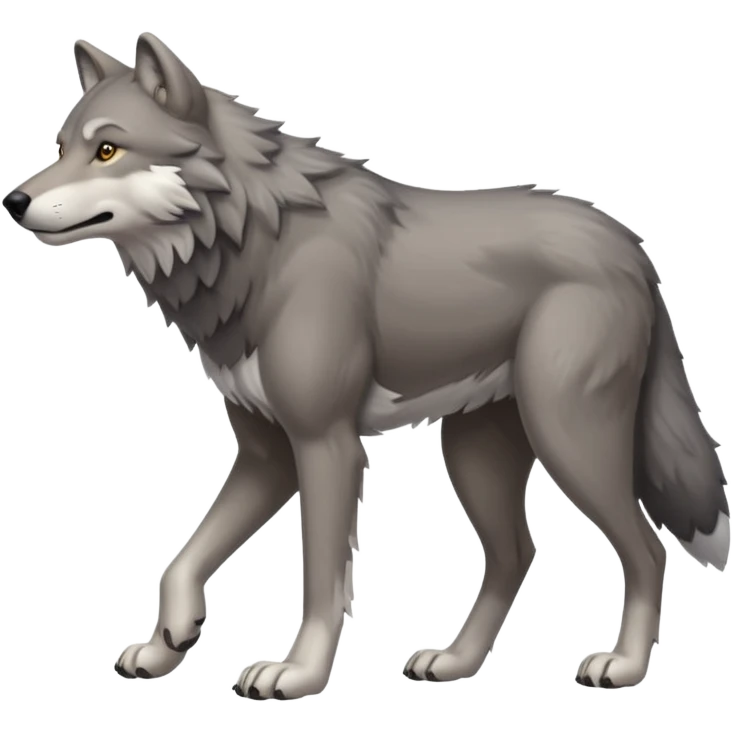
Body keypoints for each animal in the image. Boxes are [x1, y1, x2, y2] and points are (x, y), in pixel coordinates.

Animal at [3, 32, 729, 699]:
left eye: (107, 150)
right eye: (61, 147)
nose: (14, 201)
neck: (254, 245)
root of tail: (631, 246)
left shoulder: (326, 445)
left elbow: (322, 579)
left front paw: (297, 672)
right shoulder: (267, 455)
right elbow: (180, 562)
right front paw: (168, 644)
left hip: (569, 438)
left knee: (646, 549)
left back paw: (624, 666)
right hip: (474, 452)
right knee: (516, 554)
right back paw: (456, 663)